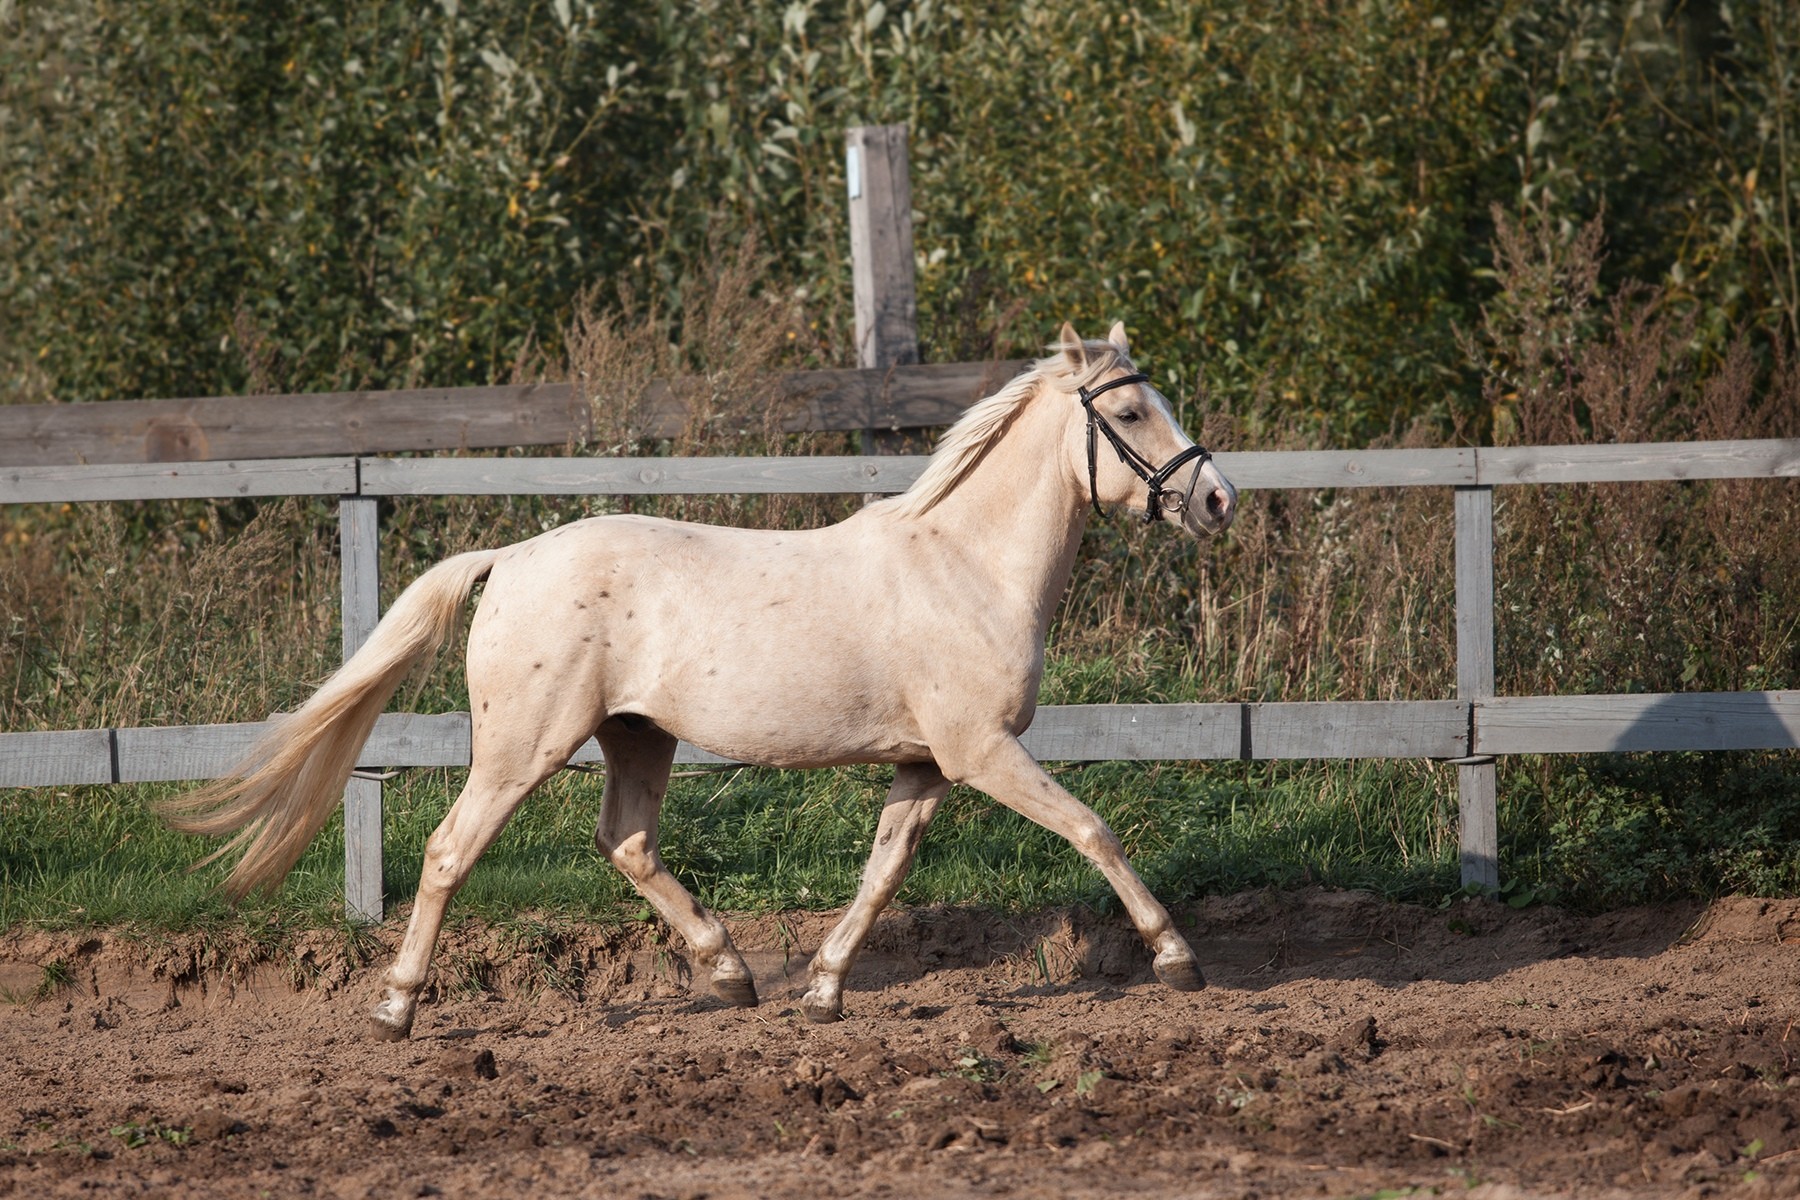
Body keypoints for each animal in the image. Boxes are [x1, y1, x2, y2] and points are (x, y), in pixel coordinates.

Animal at [165, 323, 1238, 1036]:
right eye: (1131, 409)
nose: (1218, 499)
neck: (965, 566)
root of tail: (510, 559)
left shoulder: (927, 763)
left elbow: (884, 870)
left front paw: (825, 987)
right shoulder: (982, 751)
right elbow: (1093, 829)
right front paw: (1179, 959)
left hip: (639, 734)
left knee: (627, 843)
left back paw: (728, 974)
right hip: (524, 746)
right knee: (448, 851)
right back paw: (396, 1009)